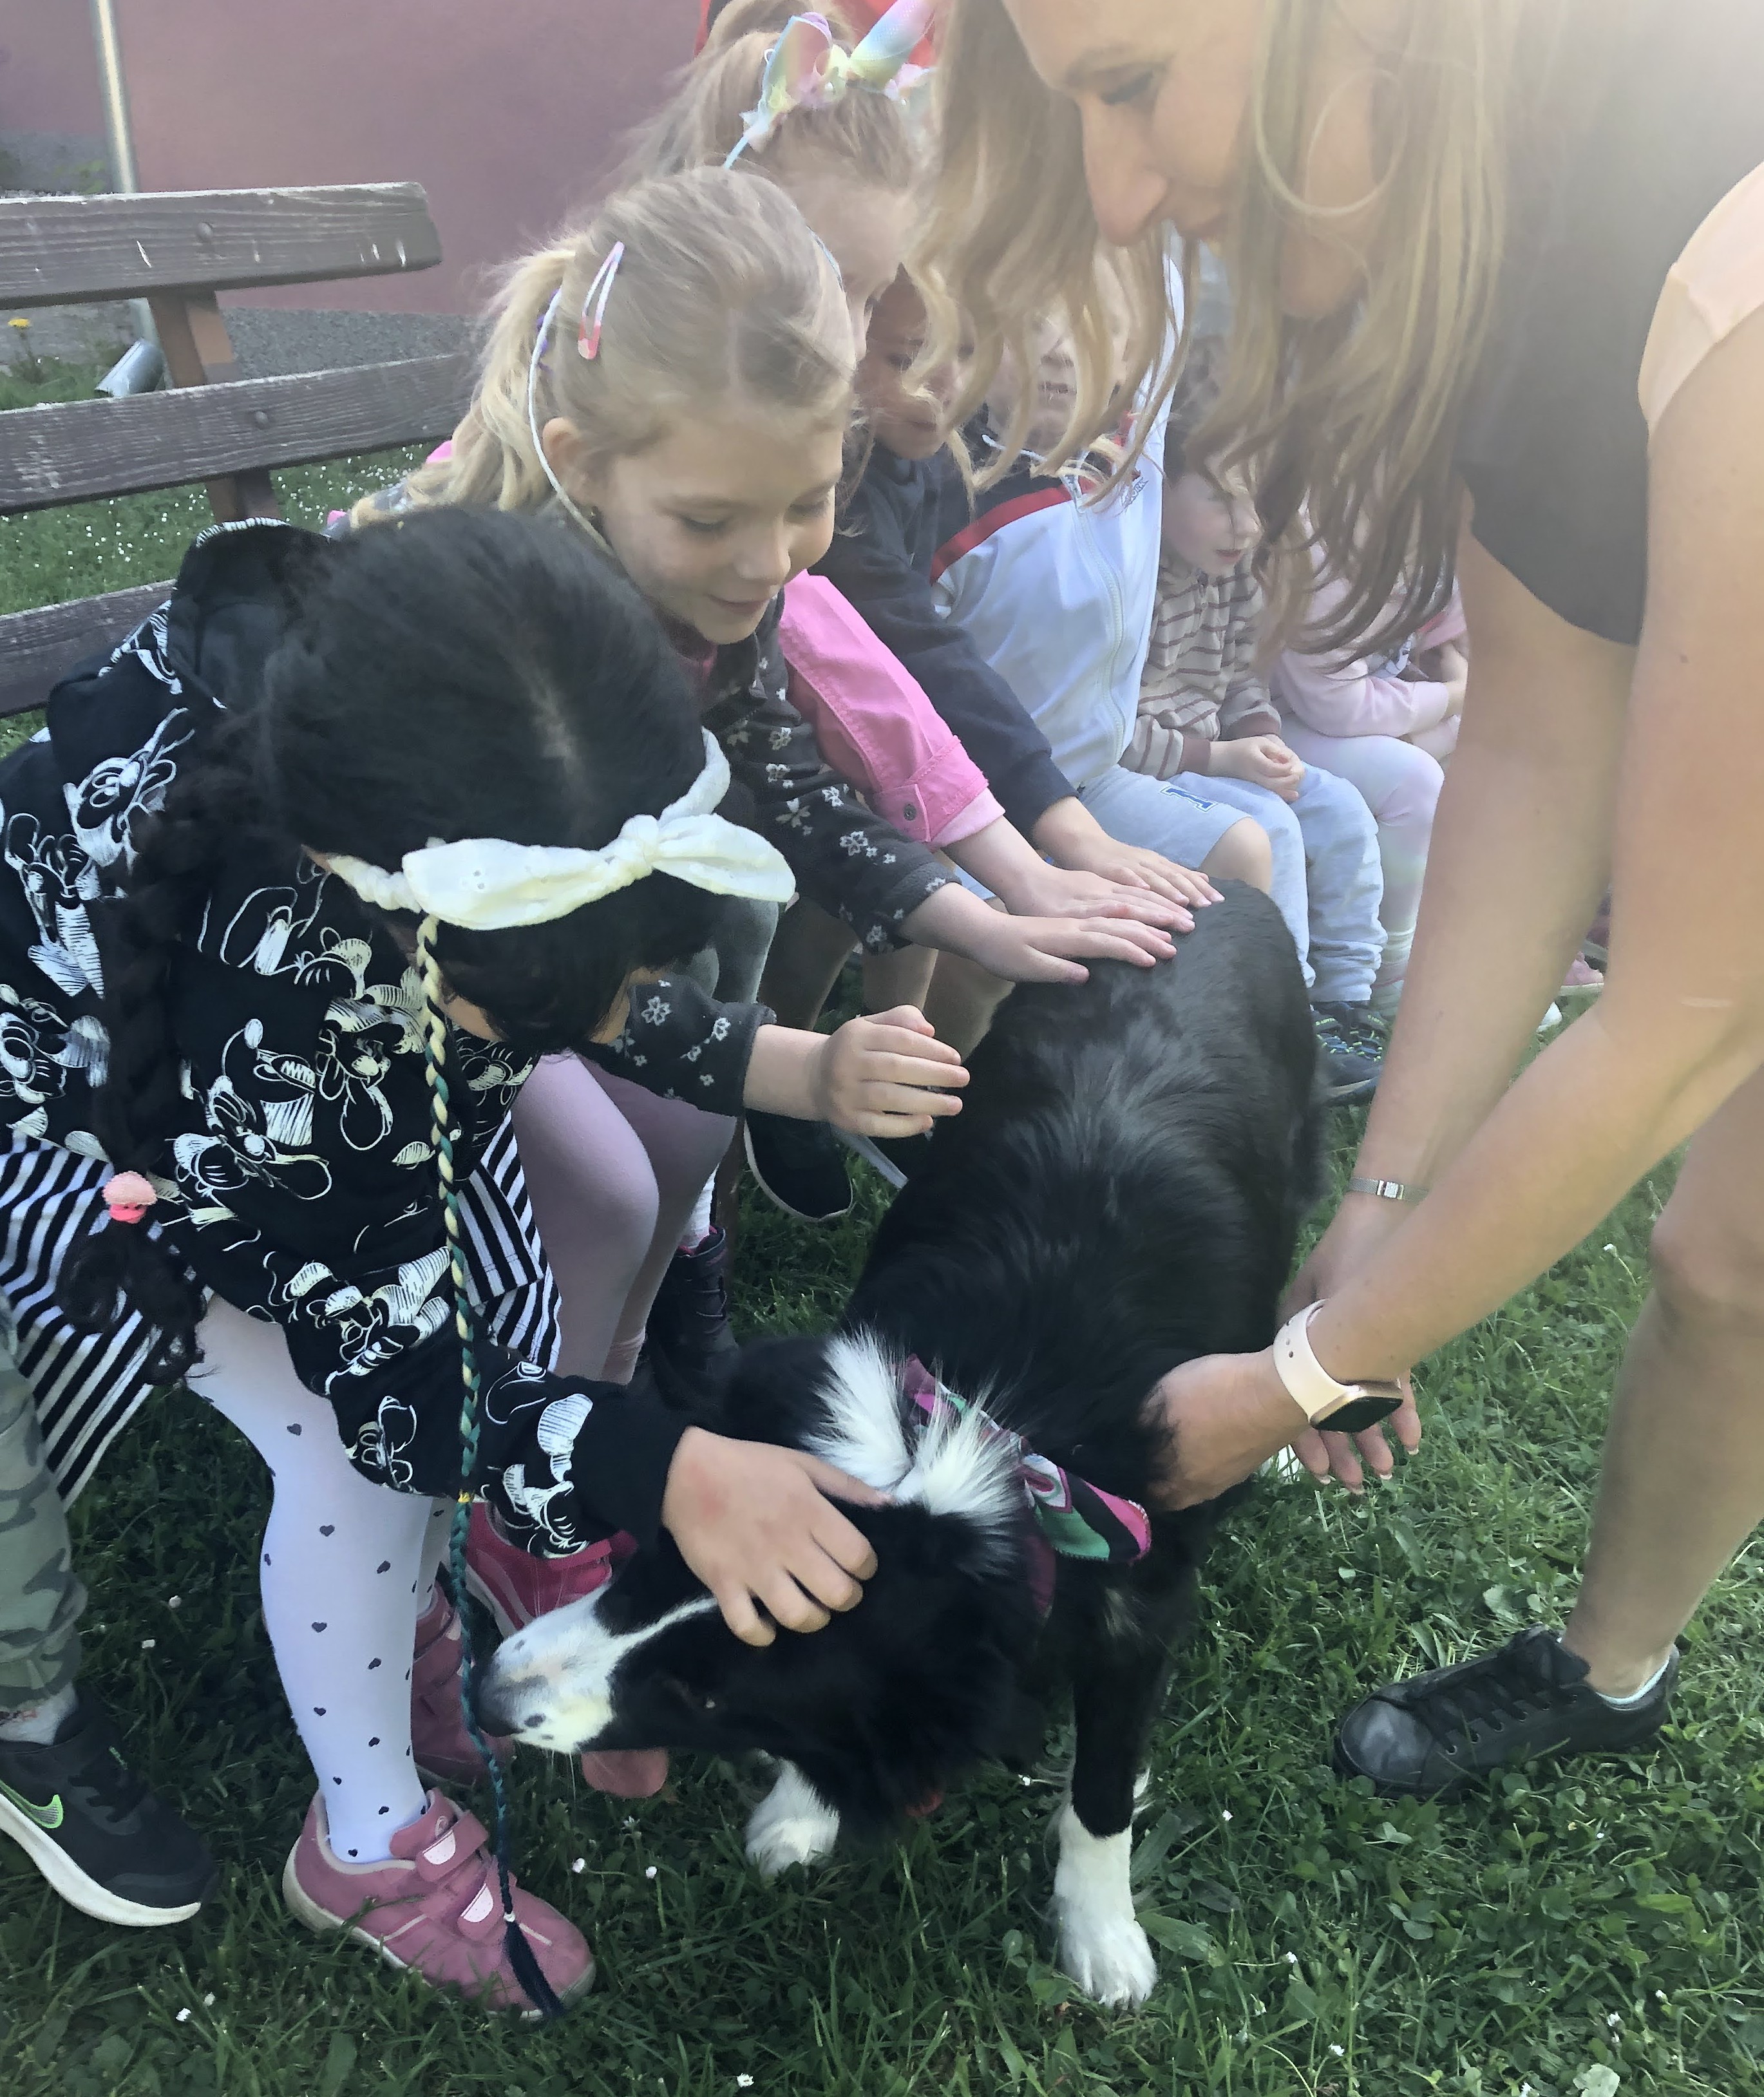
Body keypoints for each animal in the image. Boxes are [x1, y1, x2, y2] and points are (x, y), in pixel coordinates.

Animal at [477, 882, 1323, 2006]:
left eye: (704, 1691)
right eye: (650, 1563)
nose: (488, 1696)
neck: (991, 1431)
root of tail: (1217, 888)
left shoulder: (1137, 1600)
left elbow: (1101, 1786)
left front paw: (1103, 1936)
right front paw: (800, 1813)